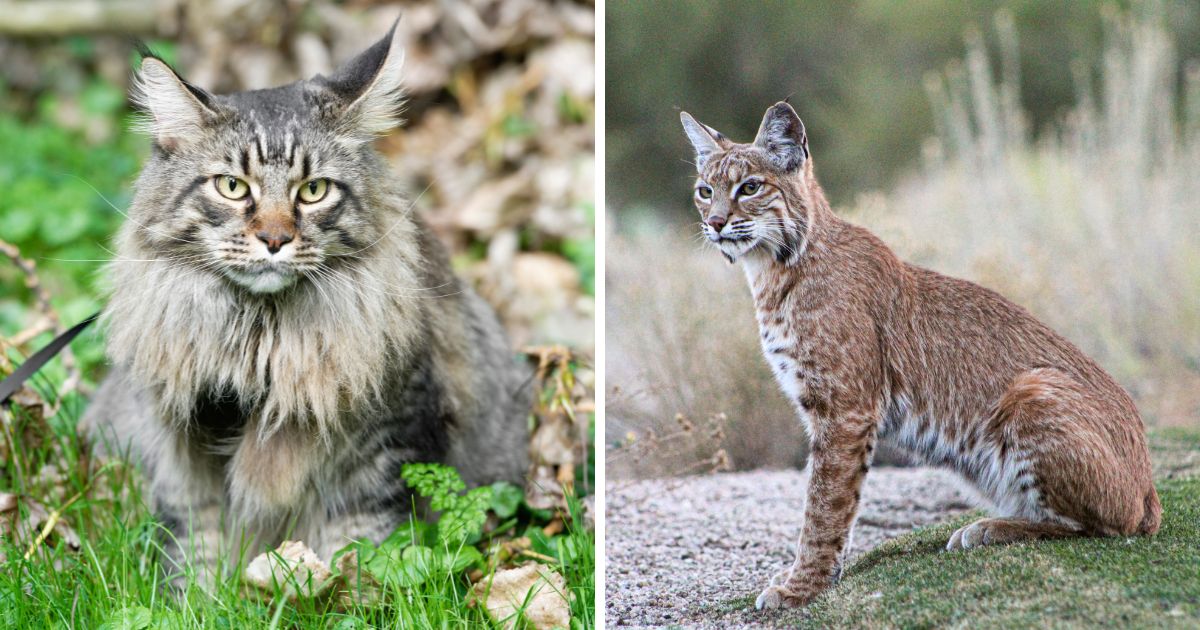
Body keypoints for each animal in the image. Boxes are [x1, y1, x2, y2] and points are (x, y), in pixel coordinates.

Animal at [82, 24, 532, 580]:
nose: (275, 239)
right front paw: (195, 596)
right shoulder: (183, 456)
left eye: (313, 190)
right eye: (232, 187)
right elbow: (196, 552)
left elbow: (359, 554)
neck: (258, 341)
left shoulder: (383, 450)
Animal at [681, 103, 1156, 609]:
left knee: (1107, 523)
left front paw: (802, 587)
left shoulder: (845, 409)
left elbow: (824, 504)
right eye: (705, 191)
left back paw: (990, 528)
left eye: (750, 187)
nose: (715, 223)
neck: (773, 269)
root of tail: (1150, 485)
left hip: (1033, 389)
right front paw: (805, 579)